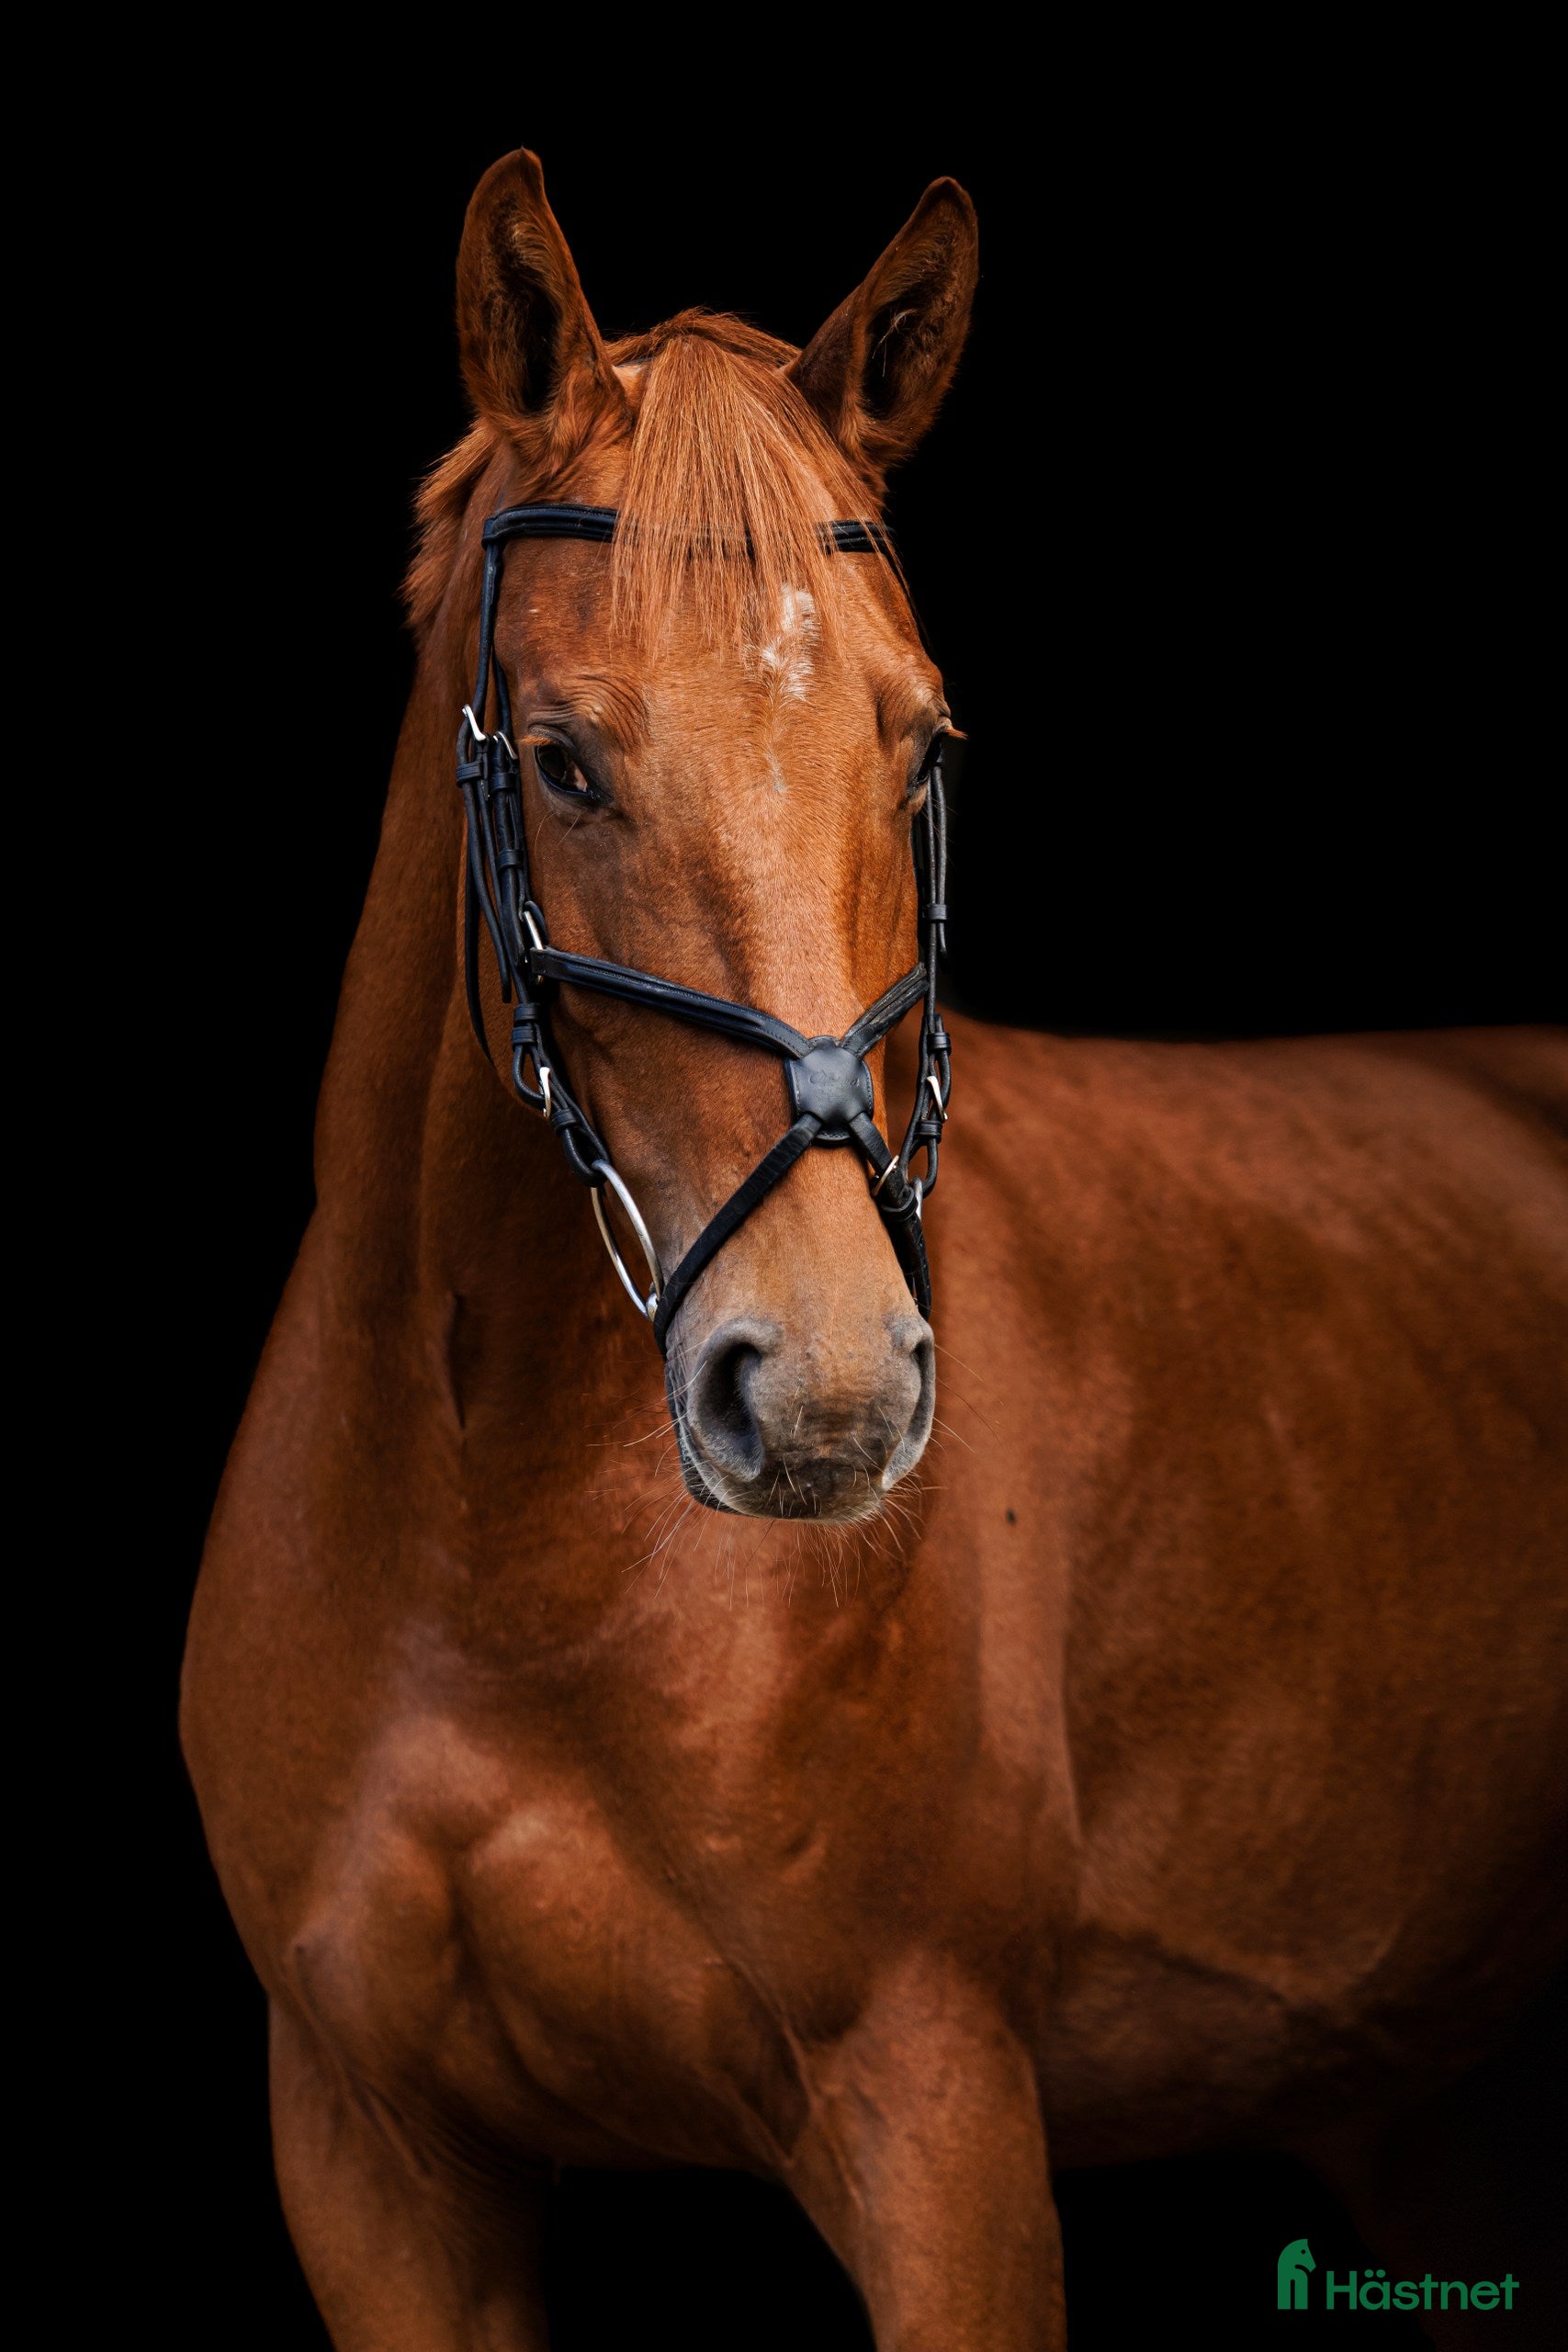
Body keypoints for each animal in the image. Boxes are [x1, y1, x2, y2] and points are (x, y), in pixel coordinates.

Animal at [182, 148, 1568, 2349]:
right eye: (561, 758)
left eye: (921, 747)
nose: (823, 1391)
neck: (498, 1542)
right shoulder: (376, 2161)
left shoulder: (936, 2123)